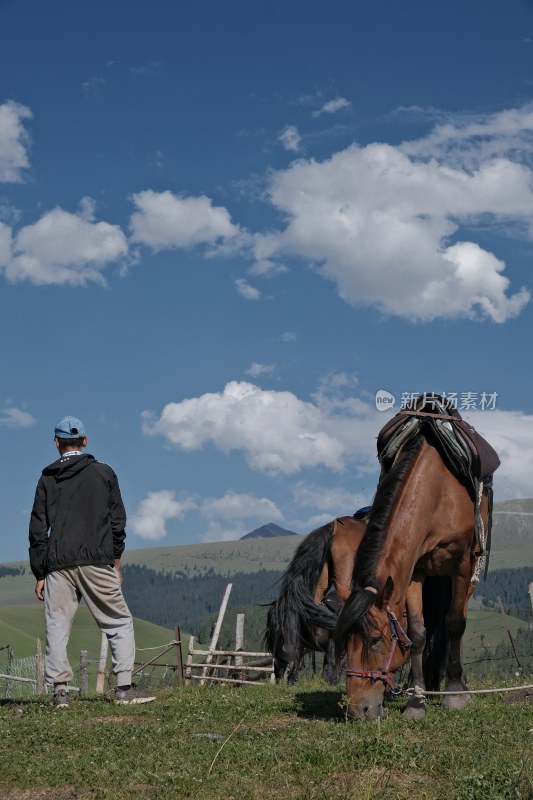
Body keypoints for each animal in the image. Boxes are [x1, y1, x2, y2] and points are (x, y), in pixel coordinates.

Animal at [334, 396, 496, 720]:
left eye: (374, 639)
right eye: (345, 640)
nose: (358, 710)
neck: (438, 491)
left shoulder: (462, 565)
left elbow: (455, 624)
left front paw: (455, 693)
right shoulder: (414, 572)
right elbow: (417, 632)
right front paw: (416, 700)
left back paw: (458, 683)